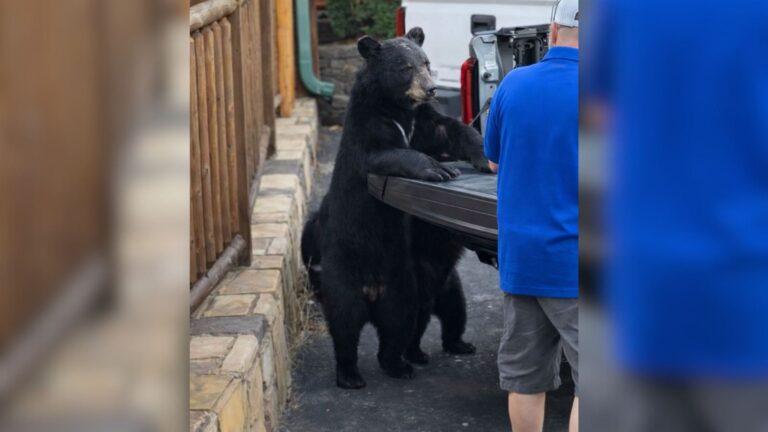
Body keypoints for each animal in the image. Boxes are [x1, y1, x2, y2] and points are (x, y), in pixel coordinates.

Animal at [302, 27, 488, 389]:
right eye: (405, 68)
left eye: (426, 62)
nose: (430, 89)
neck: (400, 107)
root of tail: (372, 290)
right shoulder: (370, 128)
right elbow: (387, 153)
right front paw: (439, 170)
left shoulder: (424, 122)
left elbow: (451, 129)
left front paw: (484, 155)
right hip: (343, 274)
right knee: (345, 323)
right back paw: (350, 374)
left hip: (402, 284)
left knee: (400, 322)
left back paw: (399, 363)